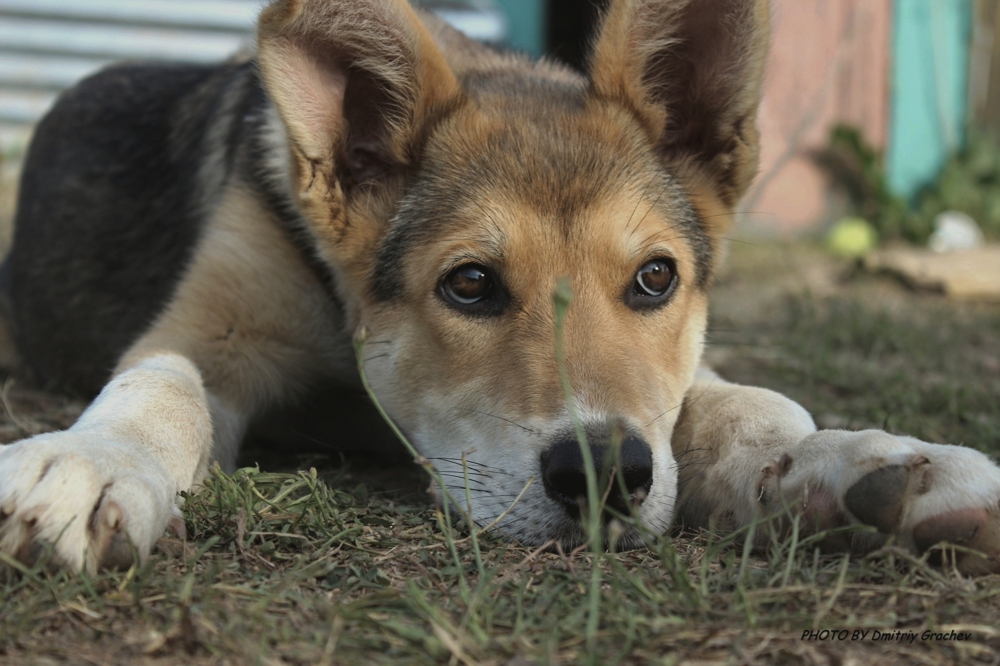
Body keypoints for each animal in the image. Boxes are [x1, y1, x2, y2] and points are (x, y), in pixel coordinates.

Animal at [1, 0, 1000, 572]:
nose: (606, 476)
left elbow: (733, 401)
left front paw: (854, 460)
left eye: (656, 277)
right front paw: (94, 459)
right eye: (471, 284)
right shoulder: (218, 328)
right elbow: (159, 385)